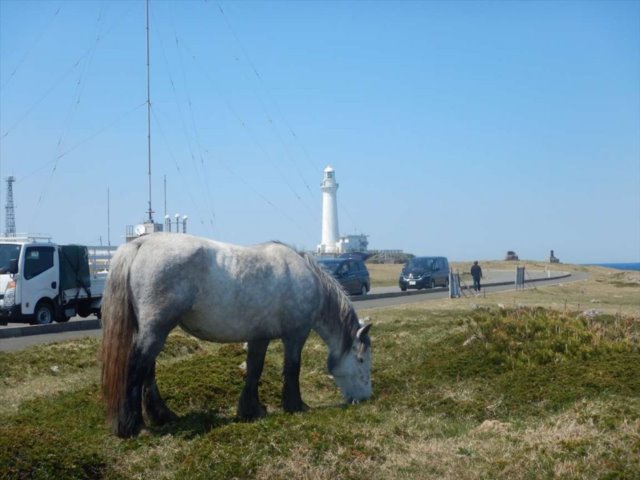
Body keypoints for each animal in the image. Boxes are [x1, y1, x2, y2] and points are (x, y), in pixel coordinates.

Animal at [100, 233, 372, 438]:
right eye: (361, 360)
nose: (364, 398)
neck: (306, 276)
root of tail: (140, 243)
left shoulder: (259, 337)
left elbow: (254, 369)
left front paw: (251, 410)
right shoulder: (296, 335)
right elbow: (292, 369)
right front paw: (296, 406)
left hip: (152, 331)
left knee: (148, 370)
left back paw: (162, 416)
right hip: (155, 331)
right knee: (136, 369)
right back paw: (135, 427)